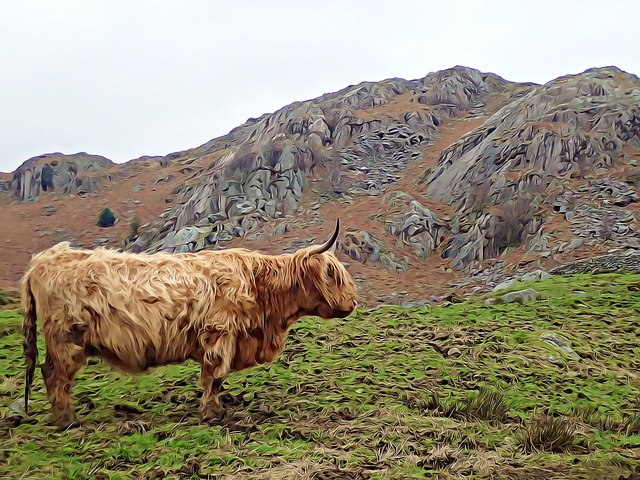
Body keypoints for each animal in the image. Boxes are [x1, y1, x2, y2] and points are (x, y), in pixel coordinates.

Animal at [20, 218, 358, 428]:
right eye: (333, 274)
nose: (353, 302)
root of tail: (42, 260)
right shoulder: (219, 334)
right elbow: (214, 378)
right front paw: (213, 414)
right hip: (66, 338)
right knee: (54, 375)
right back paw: (68, 421)